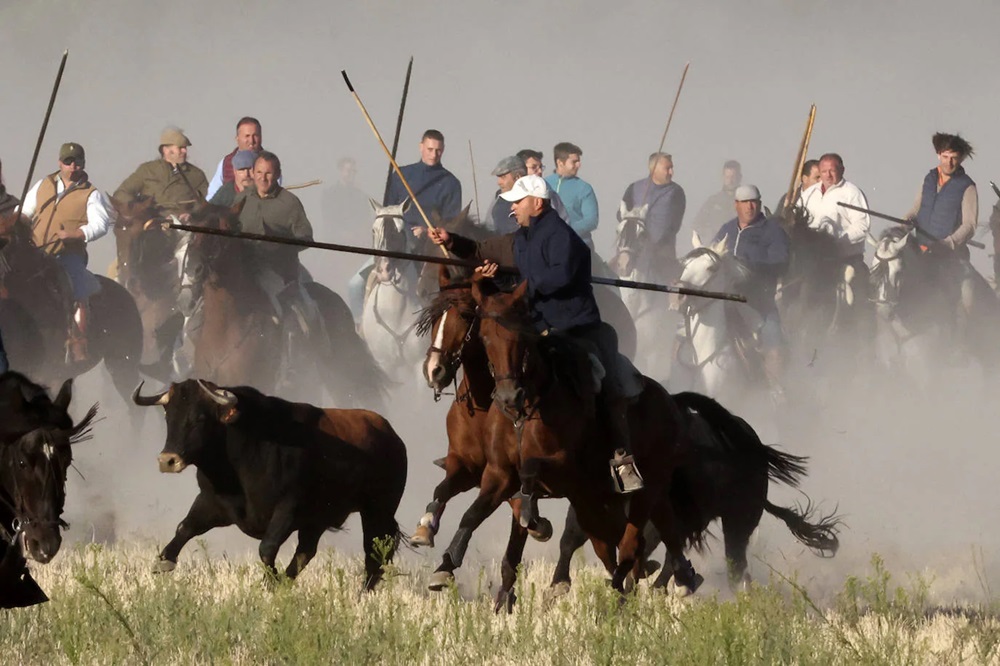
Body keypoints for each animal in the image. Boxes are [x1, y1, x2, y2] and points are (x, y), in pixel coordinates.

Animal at [133, 376, 406, 588]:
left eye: (200, 417)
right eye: (169, 415)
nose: (167, 460)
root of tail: (391, 435)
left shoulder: (287, 508)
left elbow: (267, 547)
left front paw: (270, 582)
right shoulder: (212, 502)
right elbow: (185, 528)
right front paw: (163, 562)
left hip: (377, 512)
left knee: (373, 556)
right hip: (319, 519)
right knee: (306, 552)